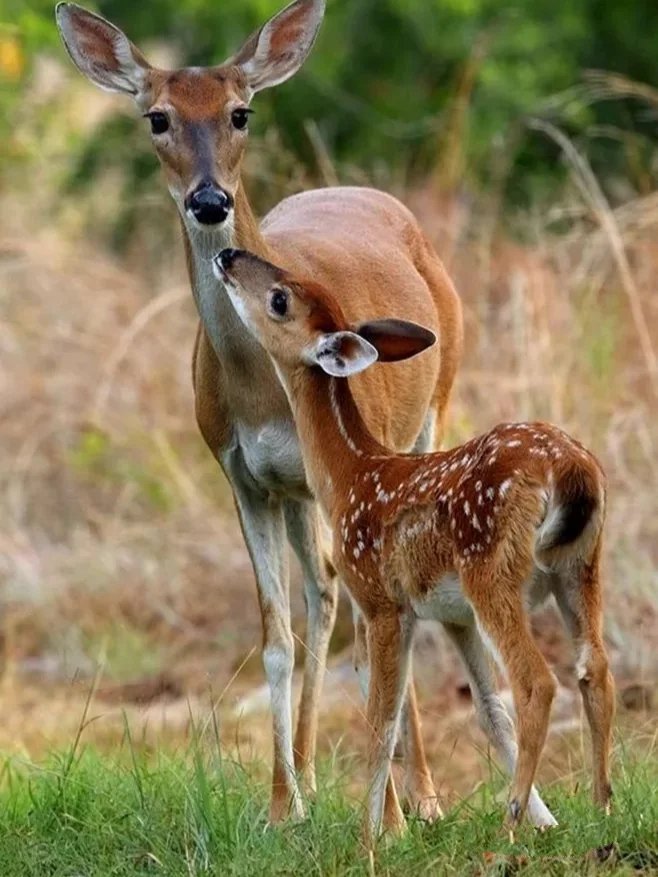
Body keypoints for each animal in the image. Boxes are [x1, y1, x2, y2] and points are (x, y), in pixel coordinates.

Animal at [57, 0, 462, 820]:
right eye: (156, 117)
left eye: (240, 111)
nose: (209, 200)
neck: (259, 385)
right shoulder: (242, 475)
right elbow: (276, 637)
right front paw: (283, 806)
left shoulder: (349, 467)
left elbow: (366, 618)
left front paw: (389, 814)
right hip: (297, 491)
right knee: (320, 597)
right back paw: (308, 771)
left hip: (432, 411)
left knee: (365, 597)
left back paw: (425, 797)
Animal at [213, 246, 612, 840]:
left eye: (280, 299)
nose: (228, 254)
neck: (350, 474)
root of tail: (570, 469)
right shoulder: (445, 613)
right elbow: (473, 707)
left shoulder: (380, 598)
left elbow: (381, 719)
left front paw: (370, 834)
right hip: (581, 566)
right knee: (595, 669)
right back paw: (602, 804)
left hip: (492, 571)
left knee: (538, 682)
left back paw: (511, 815)